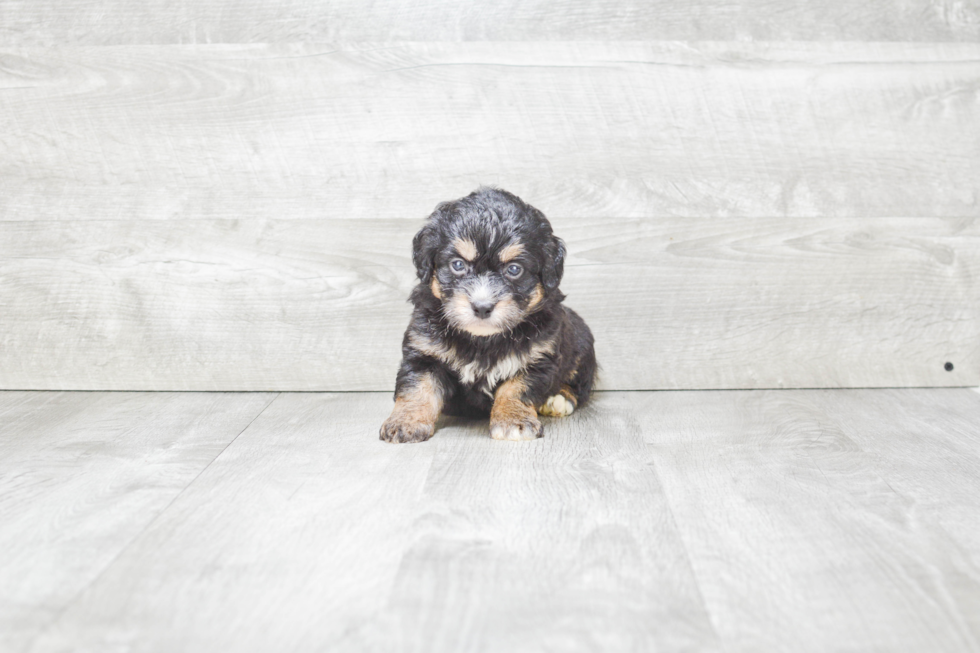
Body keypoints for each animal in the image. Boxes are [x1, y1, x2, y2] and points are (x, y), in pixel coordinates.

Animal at [380, 188, 596, 444]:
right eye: (457, 265)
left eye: (514, 269)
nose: (482, 307)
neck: (483, 341)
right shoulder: (424, 350)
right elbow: (418, 387)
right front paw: (406, 422)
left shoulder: (538, 356)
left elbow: (516, 388)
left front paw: (513, 421)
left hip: (582, 347)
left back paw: (559, 399)